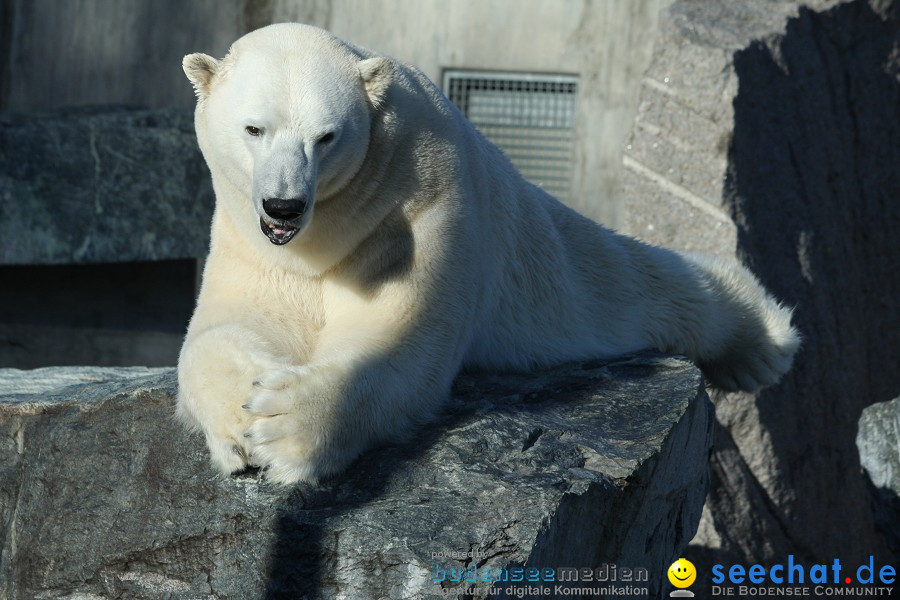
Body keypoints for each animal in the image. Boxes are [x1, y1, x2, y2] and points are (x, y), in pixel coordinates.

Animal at [178, 23, 800, 486]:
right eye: (254, 128)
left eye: (327, 136)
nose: (284, 205)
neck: (322, 234)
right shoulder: (250, 242)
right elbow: (225, 328)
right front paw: (241, 416)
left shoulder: (418, 208)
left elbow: (398, 336)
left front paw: (285, 427)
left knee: (644, 279)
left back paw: (761, 343)